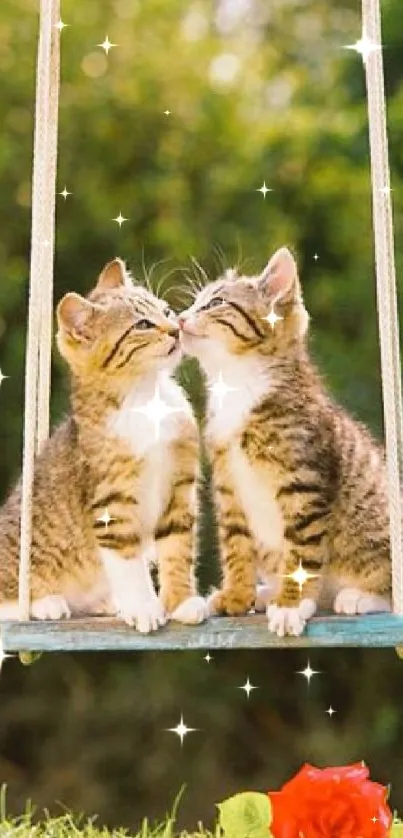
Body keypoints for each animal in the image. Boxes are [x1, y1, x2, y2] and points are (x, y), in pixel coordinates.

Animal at [0, 260, 207, 632]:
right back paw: (45, 603)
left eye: (166, 311)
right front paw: (143, 606)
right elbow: (128, 560)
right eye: (142, 325)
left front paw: (180, 602)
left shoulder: (179, 487)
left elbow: (177, 547)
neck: (145, 395)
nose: (176, 329)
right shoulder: (113, 503)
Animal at [179, 246, 392, 640]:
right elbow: (236, 542)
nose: (181, 318)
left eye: (215, 303)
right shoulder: (227, 482)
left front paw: (292, 605)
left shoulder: (304, 484)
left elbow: (301, 552)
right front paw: (237, 594)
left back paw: (358, 596)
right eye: (196, 302)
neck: (239, 382)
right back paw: (267, 593)